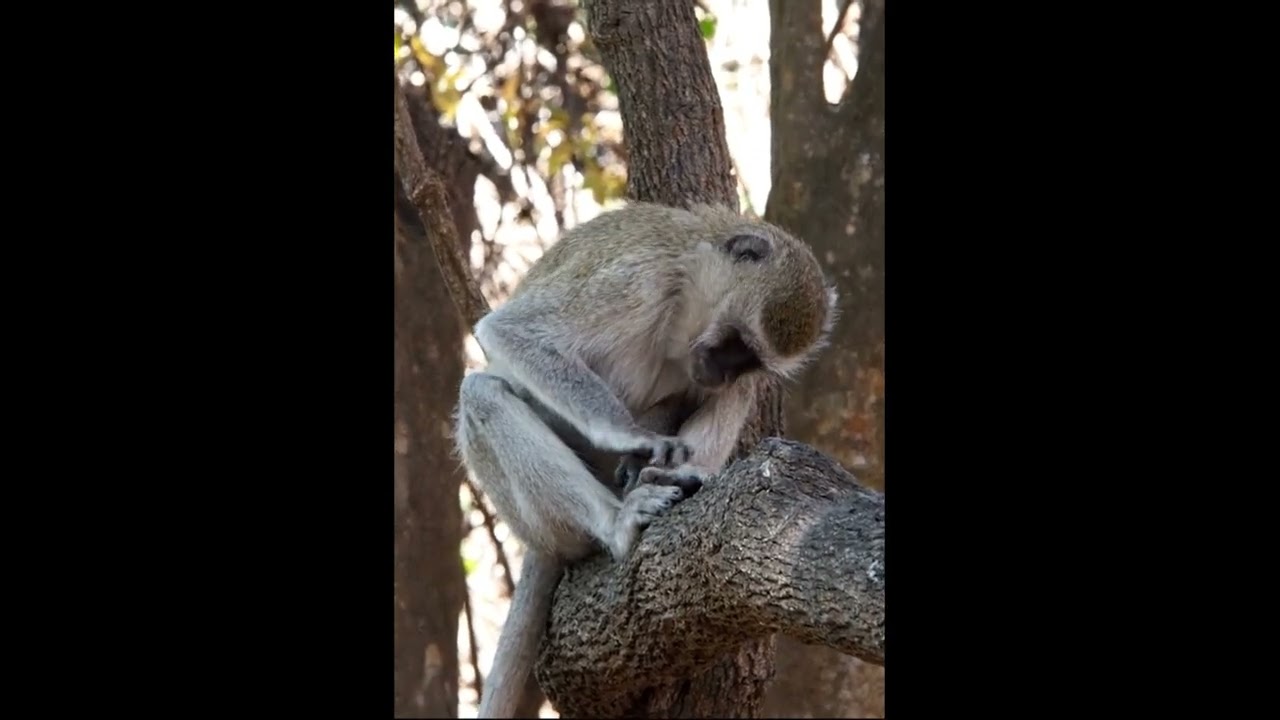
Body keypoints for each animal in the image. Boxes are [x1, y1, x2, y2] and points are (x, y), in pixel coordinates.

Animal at [453, 201, 838, 718]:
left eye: (749, 361)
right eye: (735, 344)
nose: (724, 374)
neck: (685, 293)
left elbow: (706, 397)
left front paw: (667, 458)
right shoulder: (636, 280)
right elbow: (515, 333)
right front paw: (630, 435)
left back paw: (682, 476)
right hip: (540, 516)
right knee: (482, 393)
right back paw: (617, 520)